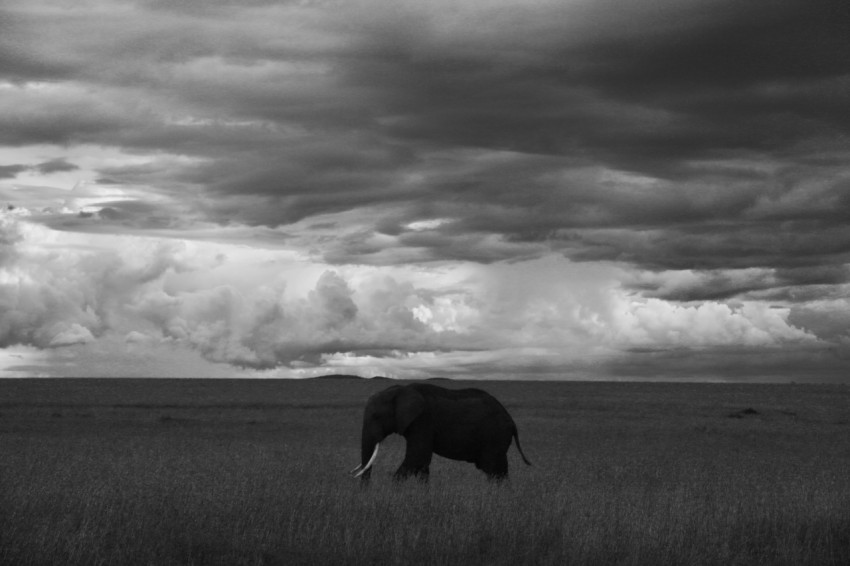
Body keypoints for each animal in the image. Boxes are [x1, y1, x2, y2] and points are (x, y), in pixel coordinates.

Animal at [348, 382, 528, 484]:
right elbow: (421, 463)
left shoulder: (423, 420)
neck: (401, 390)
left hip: (495, 436)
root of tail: (512, 421)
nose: (366, 494)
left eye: (376, 416)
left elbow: (417, 457)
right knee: (499, 469)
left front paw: (393, 493)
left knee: (493, 469)